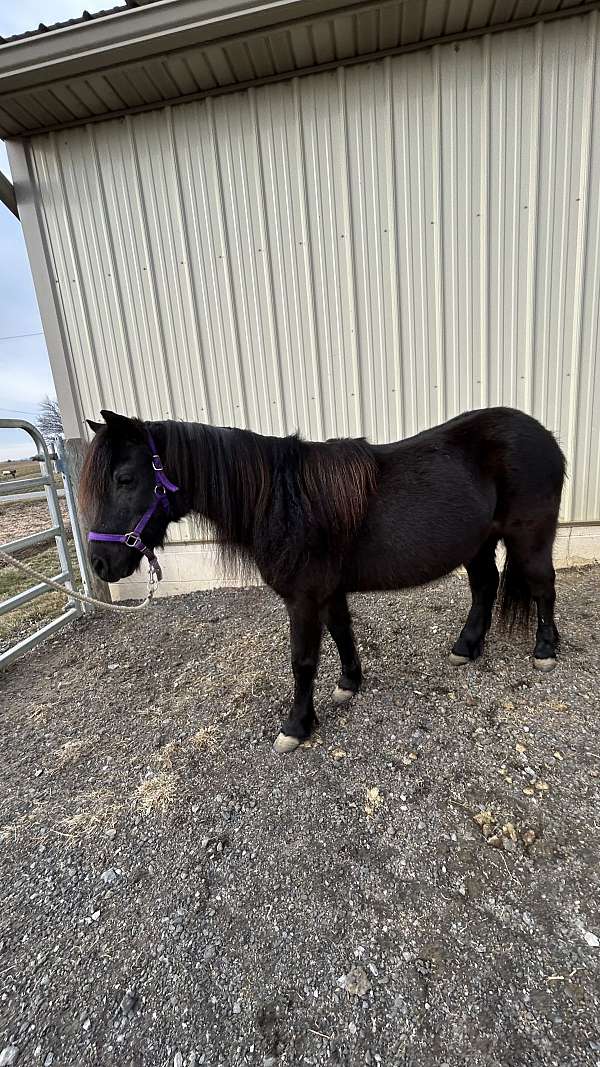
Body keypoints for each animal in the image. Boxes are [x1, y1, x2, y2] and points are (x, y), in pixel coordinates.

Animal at [81, 405, 563, 751]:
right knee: (485, 586)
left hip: (529, 538)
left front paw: (296, 726)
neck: (280, 501)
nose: (101, 563)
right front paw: (349, 684)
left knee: (543, 587)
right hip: (477, 544)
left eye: (125, 478)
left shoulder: (303, 598)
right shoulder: (328, 592)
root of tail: (543, 434)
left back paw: (544, 650)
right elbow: (342, 632)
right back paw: (467, 647)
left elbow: (303, 660)